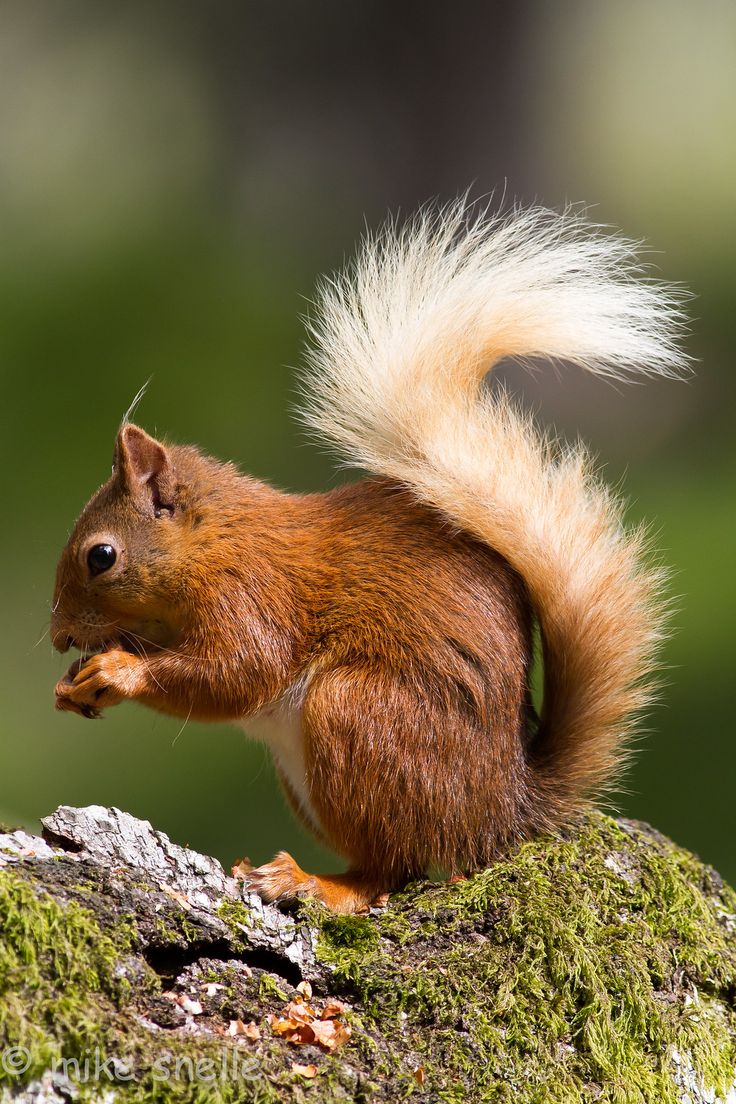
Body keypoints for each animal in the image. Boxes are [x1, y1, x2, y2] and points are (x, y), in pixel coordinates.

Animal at [48, 203, 688, 909]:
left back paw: (317, 884)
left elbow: (239, 670)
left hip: (357, 718)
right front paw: (72, 684)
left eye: (101, 557)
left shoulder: (254, 593)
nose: (58, 637)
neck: (217, 542)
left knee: (391, 869)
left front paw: (118, 672)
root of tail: (501, 813)